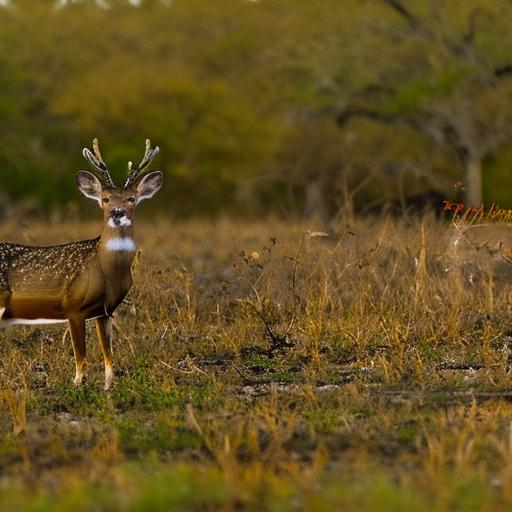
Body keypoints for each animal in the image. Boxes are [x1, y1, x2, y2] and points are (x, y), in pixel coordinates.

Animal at [0, 138, 162, 390]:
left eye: (131, 198)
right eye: (105, 198)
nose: (117, 213)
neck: (106, 271)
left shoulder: (104, 311)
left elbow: (108, 357)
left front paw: (108, 389)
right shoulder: (74, 306)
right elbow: (81, 359)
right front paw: (78, 387)